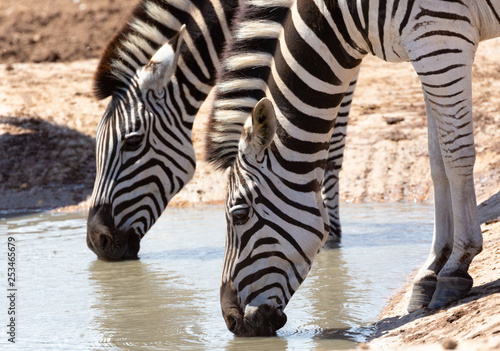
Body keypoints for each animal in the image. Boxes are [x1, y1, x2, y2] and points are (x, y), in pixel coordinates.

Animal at [205, 0, 498, 336]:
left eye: (239, 215)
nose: (232, 322)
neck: (344, 14)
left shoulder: (441, 36)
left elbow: (455, 155)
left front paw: (457, 265)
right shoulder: (429, 48)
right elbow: (437, 163)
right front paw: (430, 270)